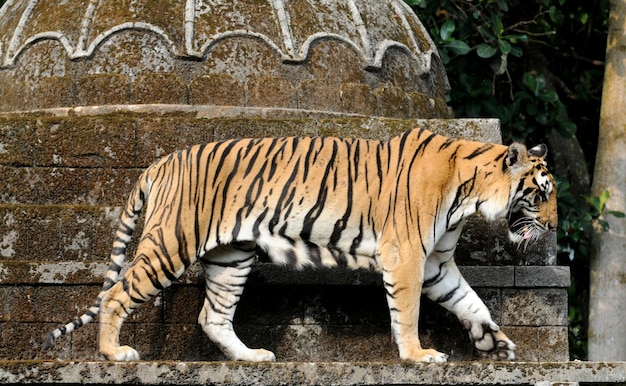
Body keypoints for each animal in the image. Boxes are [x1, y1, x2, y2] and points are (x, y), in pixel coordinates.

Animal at [41, 128, 552, 364]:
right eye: (541, 195)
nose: (551, 229)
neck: (470, 193)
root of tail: (160, 161)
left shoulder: (436, 265)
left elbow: (472, 302)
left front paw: (498, 343)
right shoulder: (406, 256)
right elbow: (407, 313)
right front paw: (418, 356)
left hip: (231, 257)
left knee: (213, 316)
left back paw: (252, 357)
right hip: (171, 243)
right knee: (115, 294)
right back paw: (114, 354)